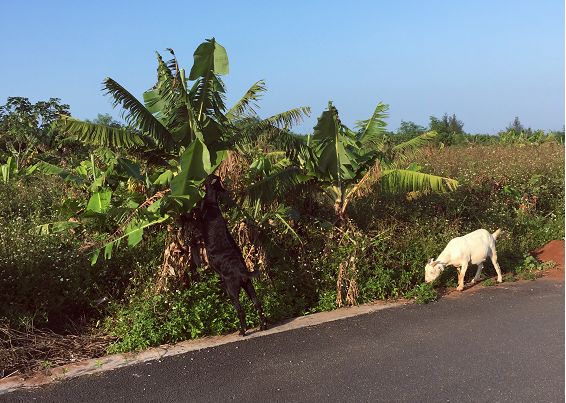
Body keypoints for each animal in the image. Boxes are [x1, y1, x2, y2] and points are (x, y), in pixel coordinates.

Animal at [202, 175, 268, 336]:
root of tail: (242, 272)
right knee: (257, 304)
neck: (211, 203)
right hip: (248, 285)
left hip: (231, 291)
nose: (226, 190)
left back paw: (243, 331)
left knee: (240, 310)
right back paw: (263, 325)